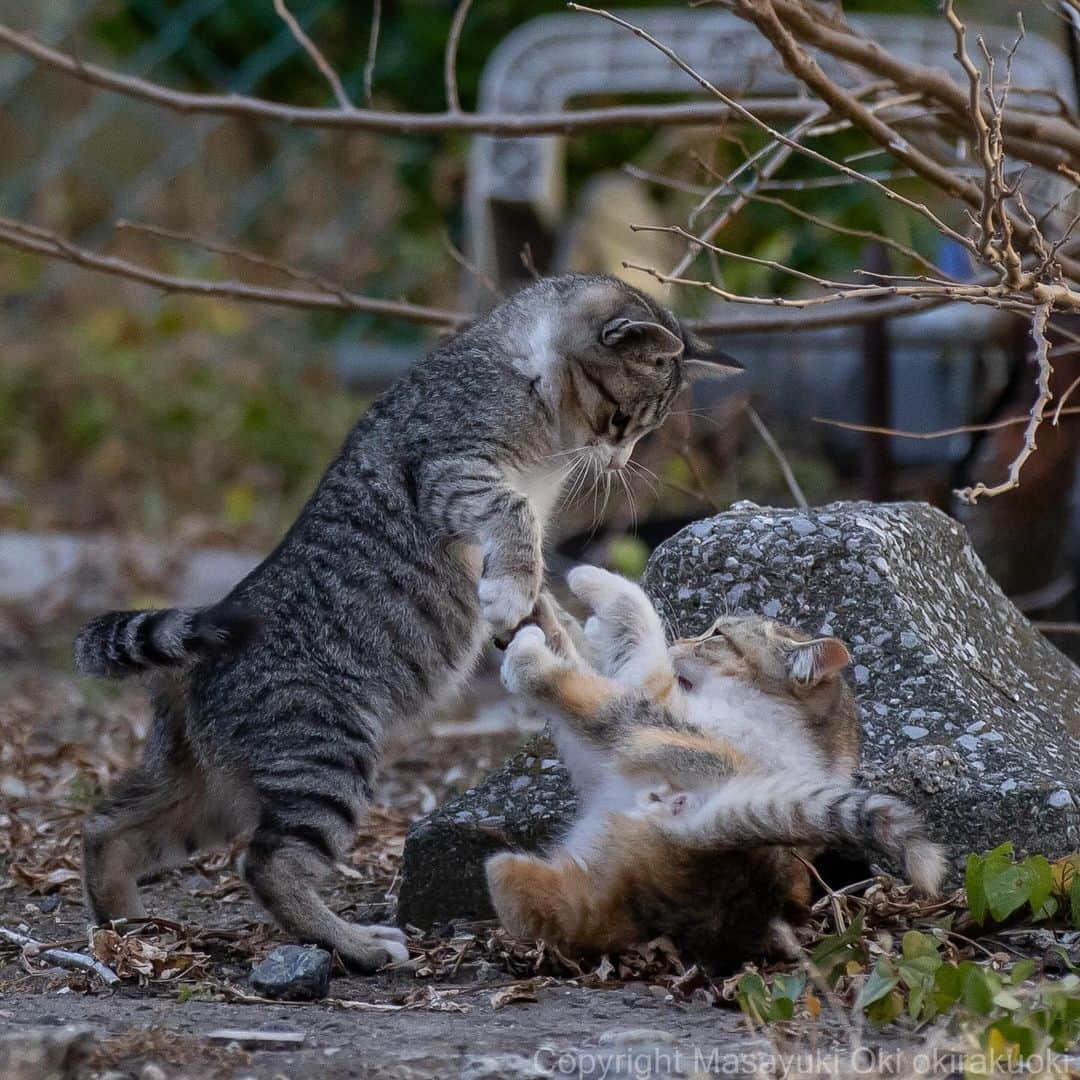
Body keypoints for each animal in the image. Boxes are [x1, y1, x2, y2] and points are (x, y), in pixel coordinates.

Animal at [71, 270, 738, 972]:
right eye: (622, 419)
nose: (617, 462)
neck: (521, 367)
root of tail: (199, 657)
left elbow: (546, 601)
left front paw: (565, 645)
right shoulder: (452, 469)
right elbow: (515, 524)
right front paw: (510, 595)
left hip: (204, 794)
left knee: (109, 828)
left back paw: (125, 930)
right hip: (326, 755)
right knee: (269, 866)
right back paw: (356, 945)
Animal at [486, 570, 941, 967]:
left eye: (718, 635)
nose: (682, 639)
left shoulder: (656, 696)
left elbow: (637, 618)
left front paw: (585, 583)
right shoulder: (600, 759)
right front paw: (550, 609)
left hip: (649, 730)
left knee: (566, 684)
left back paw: (526, 652)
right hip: (532, 877)